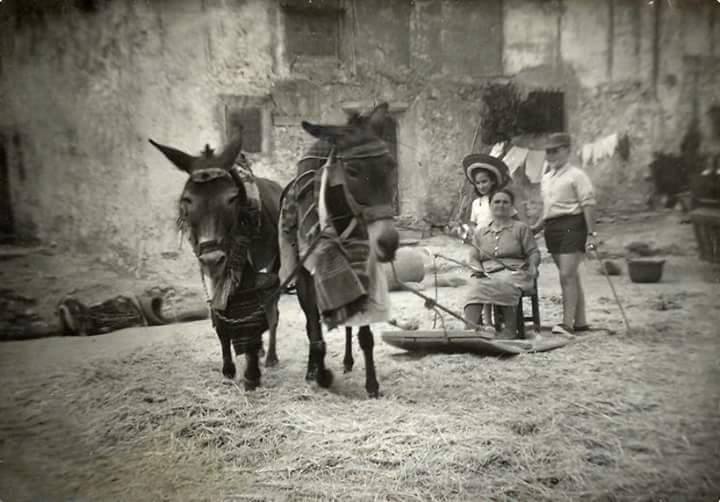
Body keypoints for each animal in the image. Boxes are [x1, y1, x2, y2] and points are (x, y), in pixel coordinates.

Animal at [148, 133, 281, 391]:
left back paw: (270, 355)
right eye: (187, 200)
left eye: (232, 198)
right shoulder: (211, 269)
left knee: (272, 311)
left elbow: (248, 316)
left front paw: (251, 374)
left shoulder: (245, 269)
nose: (212, 258)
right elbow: (220, 319)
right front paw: (229, 369)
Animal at [279, 102, 400, 398]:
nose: (389, 243)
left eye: (391, 165)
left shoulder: (362, 268)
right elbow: (314, 331)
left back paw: (347, 361)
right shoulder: (307, 278)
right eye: (353, 171)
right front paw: (319, 375)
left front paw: (372, 385)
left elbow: (365, 335)